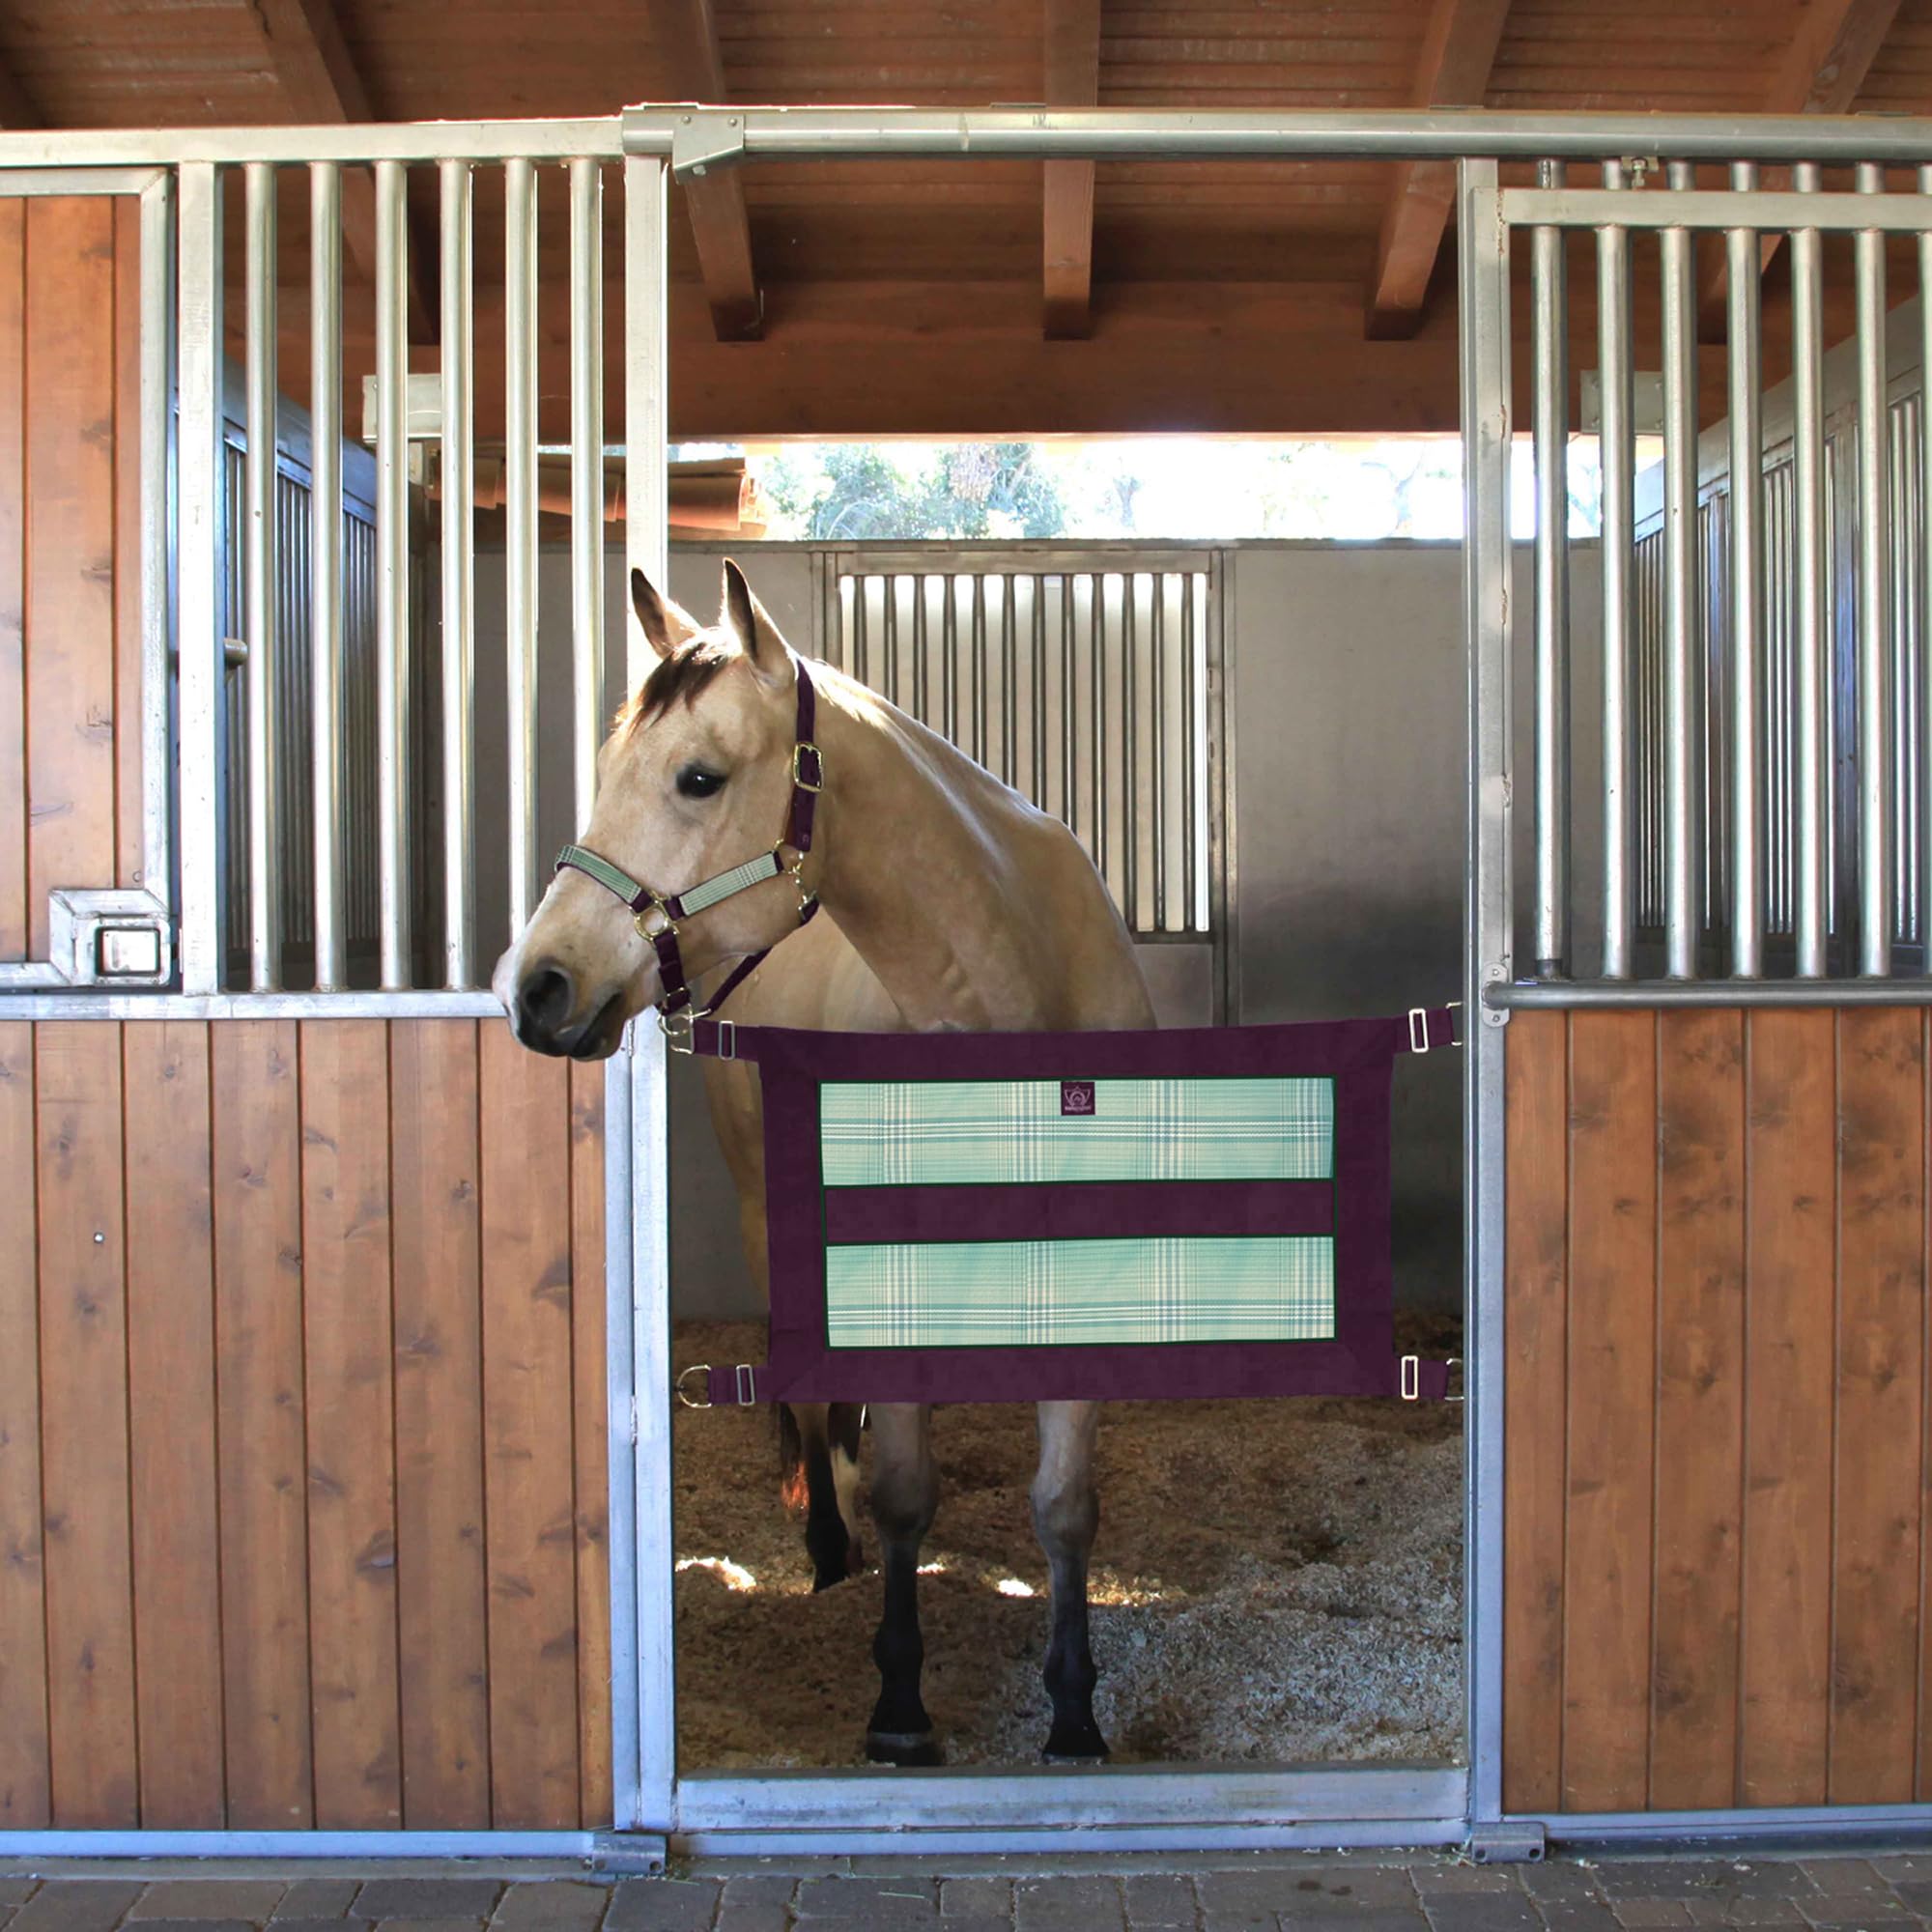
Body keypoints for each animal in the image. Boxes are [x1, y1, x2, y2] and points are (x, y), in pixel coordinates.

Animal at [494, 558, 1155, 1765]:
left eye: (697, 777)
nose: (538, 985)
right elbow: (900, 1490)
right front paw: (897, 1701)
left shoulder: (1085, 1281)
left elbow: (1063, 1502)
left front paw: (1074, 1707)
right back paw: (825, 1549)